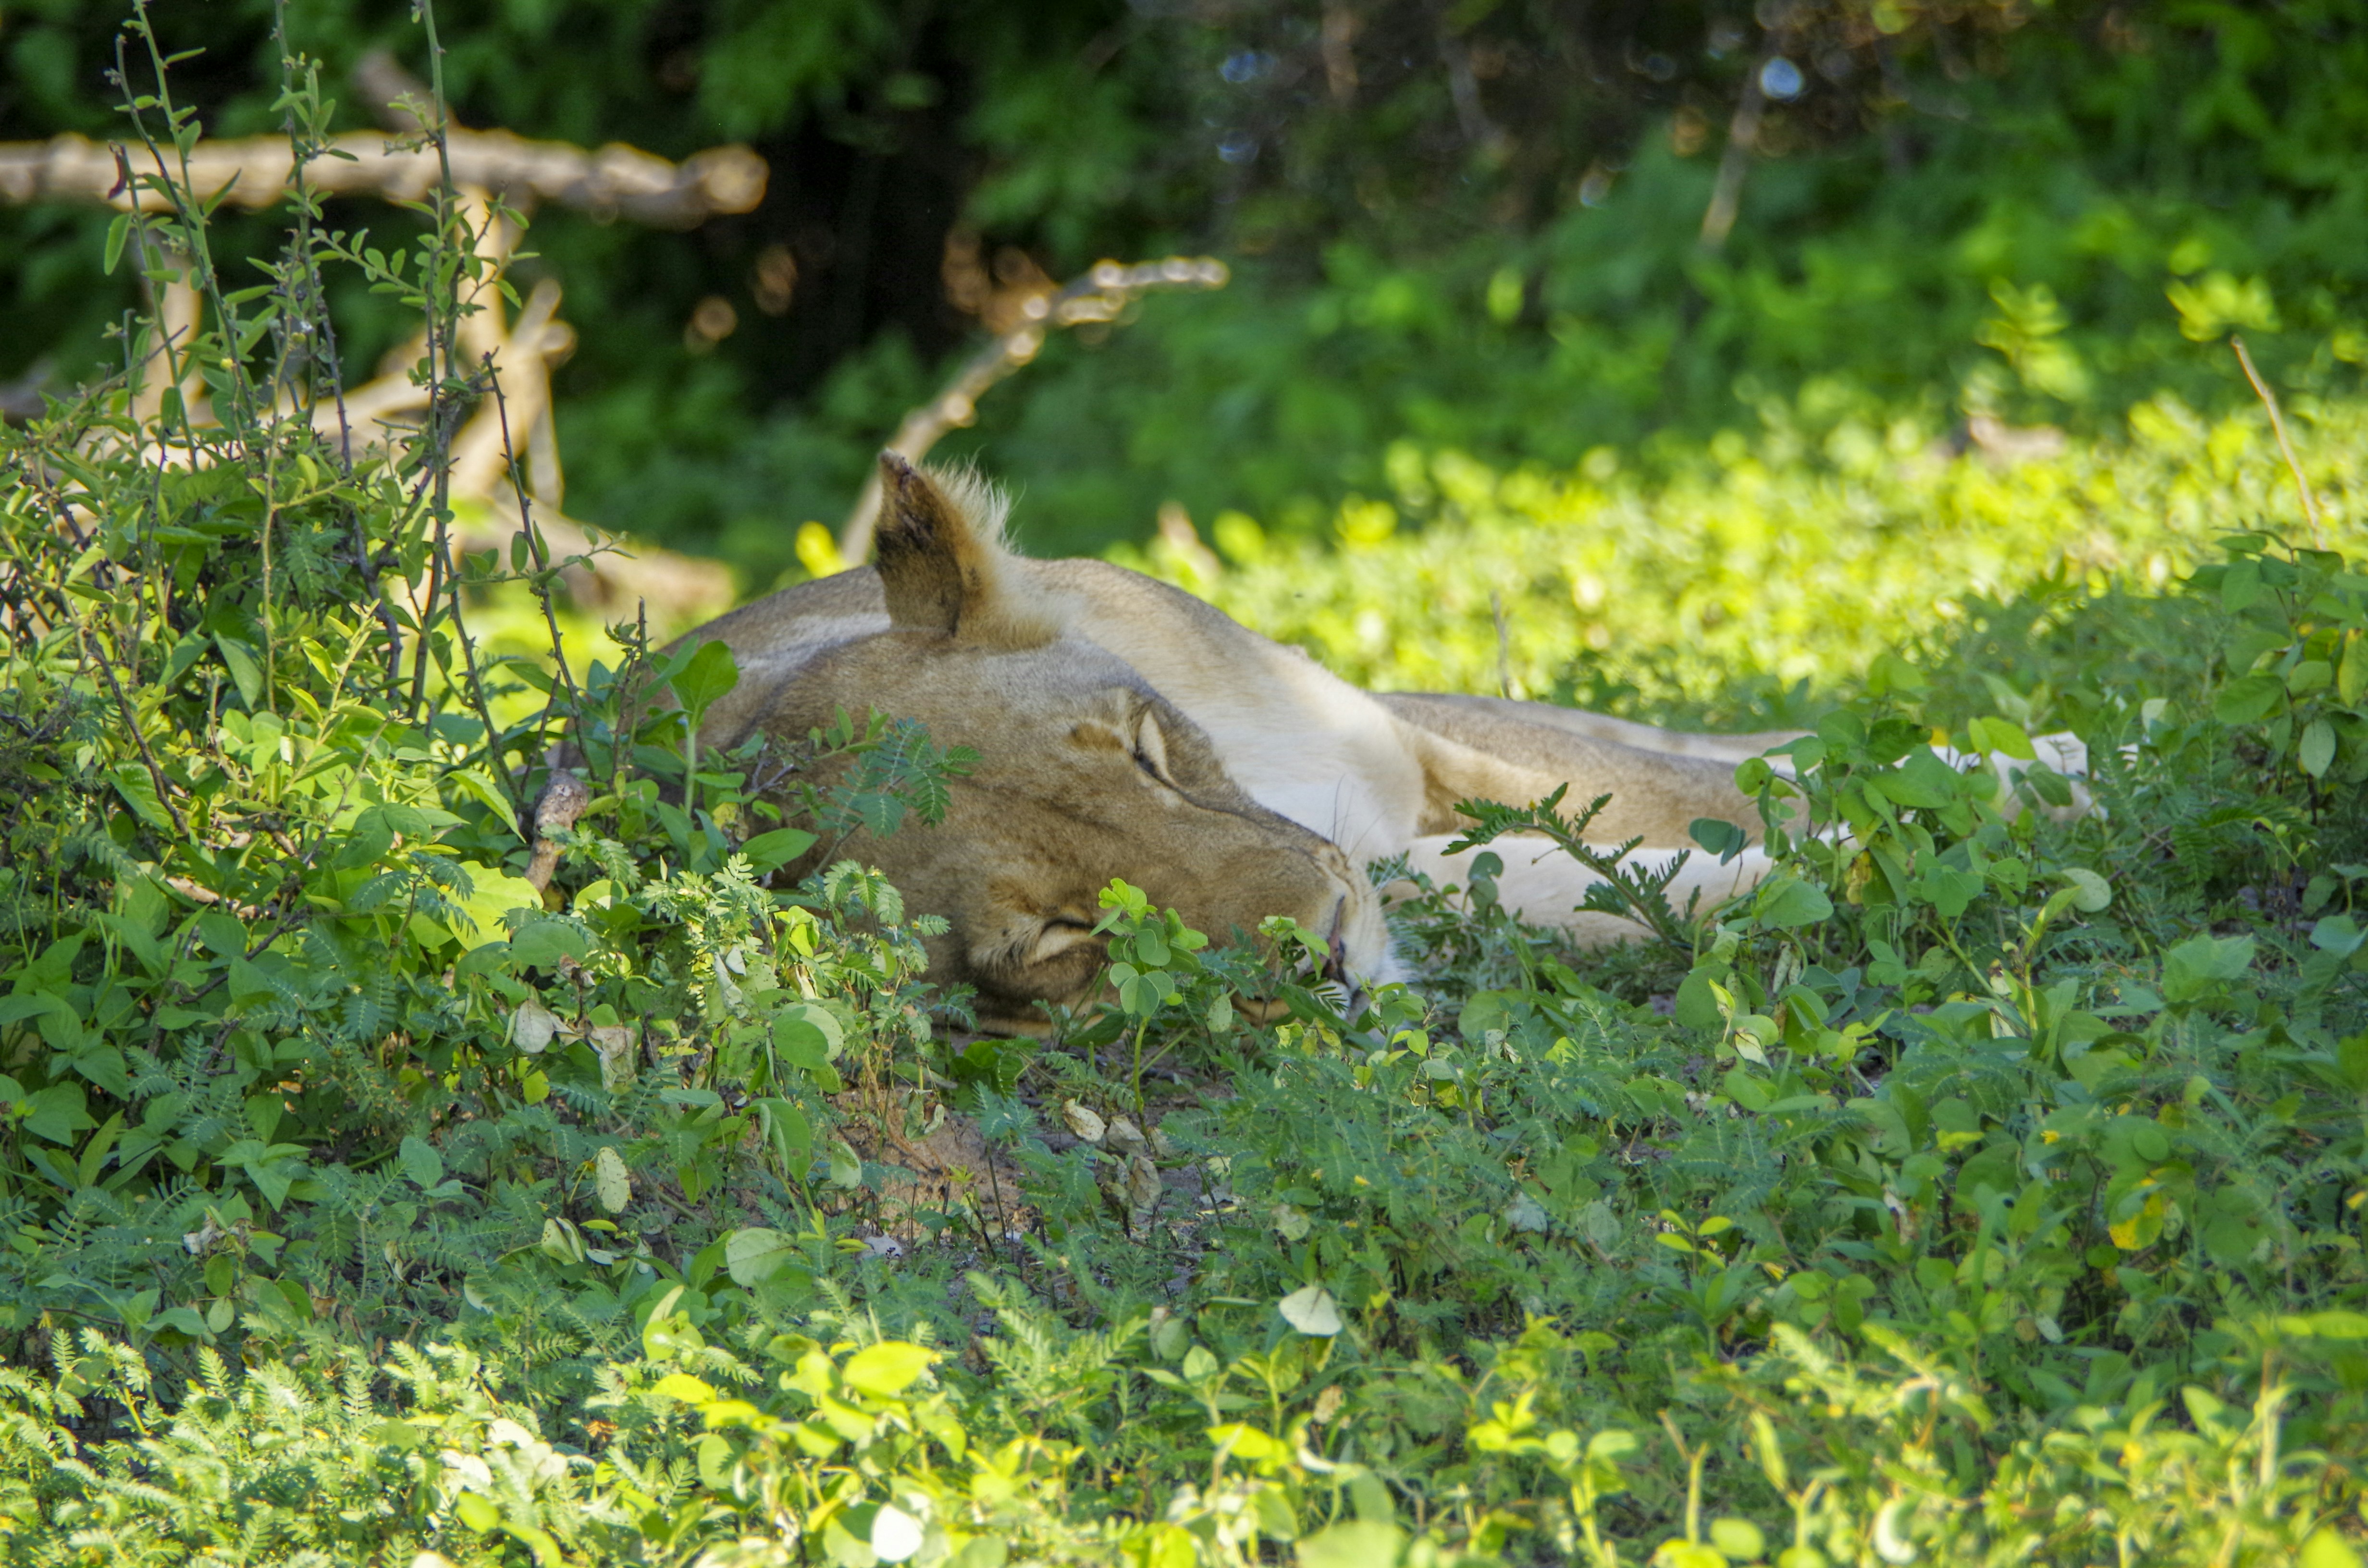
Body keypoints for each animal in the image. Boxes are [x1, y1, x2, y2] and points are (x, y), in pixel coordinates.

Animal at [661, 455, 1836, 1031]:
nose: (1332, 951)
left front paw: (1853, 817)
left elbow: (1686, 796)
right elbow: (1592, 888)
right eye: (1060, 937)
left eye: (1145, 753)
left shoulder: (1405, 761)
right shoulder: (1394, 857)